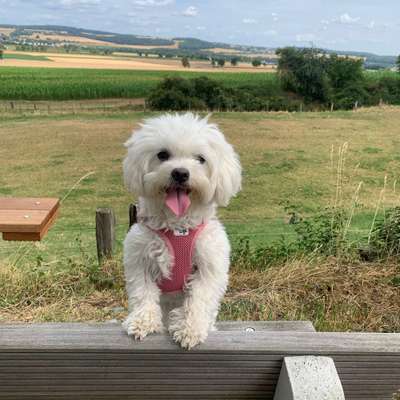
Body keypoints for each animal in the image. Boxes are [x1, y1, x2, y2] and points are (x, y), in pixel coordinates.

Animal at [122, 111, 241, 346]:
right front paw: (142, 322)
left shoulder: (208, 266)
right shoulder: (140, 259)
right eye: (162, 155)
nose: (180, 173)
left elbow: (199, 298)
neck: (178, 226)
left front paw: (189, 329)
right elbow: (143, 293)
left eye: (200, 159)